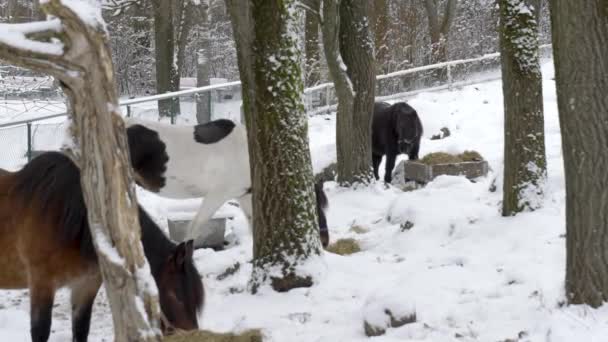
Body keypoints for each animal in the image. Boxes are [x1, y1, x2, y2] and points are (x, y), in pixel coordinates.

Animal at [0, 152, 205, 342]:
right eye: (175, 295)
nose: (193, 334)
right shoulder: (41, 283)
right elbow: (40, 331)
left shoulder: (85, 286)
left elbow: (81, 330)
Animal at [124, 117, 330, 246]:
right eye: (314, 204)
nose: (325, 240)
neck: (246, 156)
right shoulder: (217, 195)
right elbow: (195, 227)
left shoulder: (244, 196)